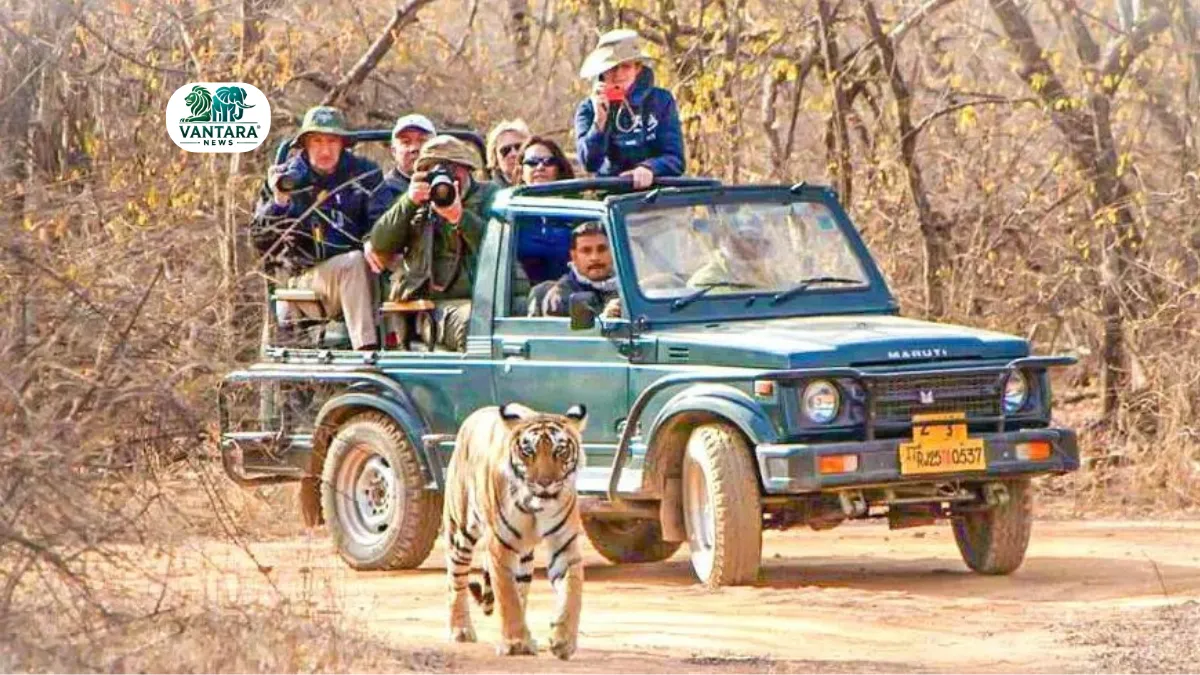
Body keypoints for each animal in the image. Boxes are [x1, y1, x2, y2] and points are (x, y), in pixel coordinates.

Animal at [443, 402, 587, 660]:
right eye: (528, 451)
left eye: (560, 451)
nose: (544, 483)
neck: (536, 505)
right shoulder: (500, 546)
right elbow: (507, 596)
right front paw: (515, 642)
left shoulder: (565, 545)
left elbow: (572, 594)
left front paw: (563, 641)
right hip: (459, 530)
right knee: (455, 579)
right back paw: (460, 630)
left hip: (525, 556)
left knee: (522, 589)